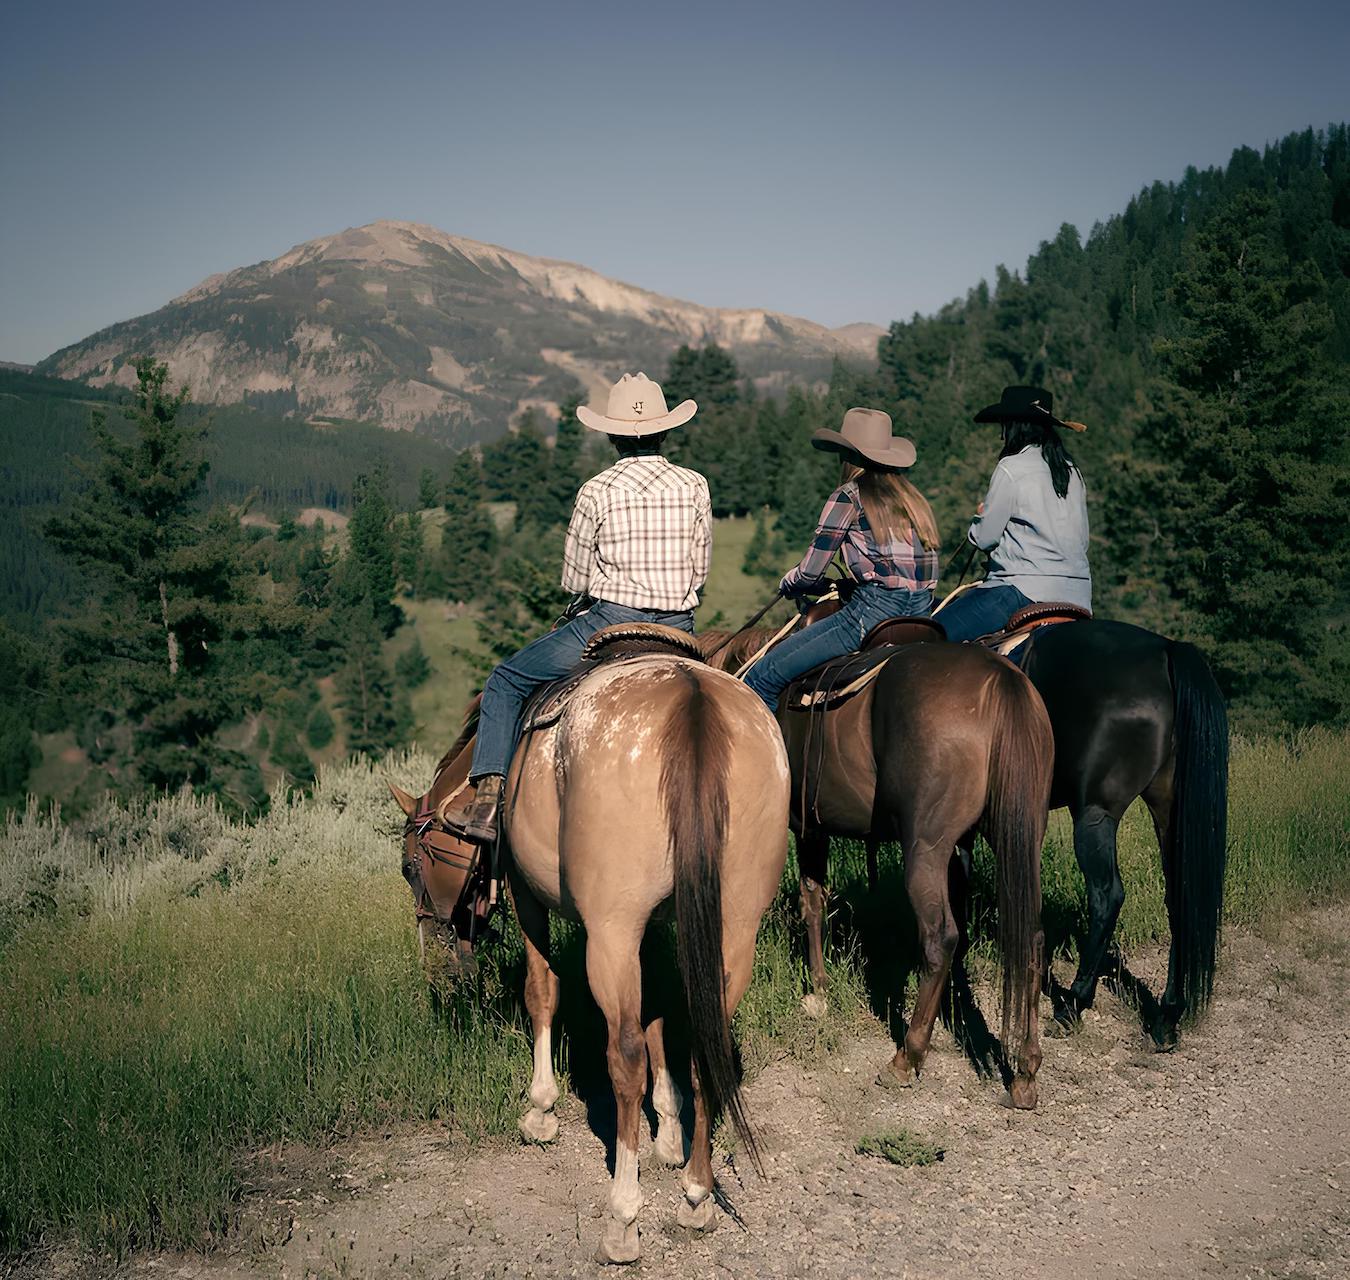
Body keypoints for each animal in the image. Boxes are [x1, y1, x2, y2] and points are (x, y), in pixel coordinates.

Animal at [388, 623, 788, 1263]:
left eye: (410, 866)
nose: (437, 954)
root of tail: (693, 699)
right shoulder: (655, 925)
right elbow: (657, 1015)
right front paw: (668, 1132)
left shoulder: (527, 893)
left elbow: (542, 992)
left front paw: (540, 1109)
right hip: (735, 925)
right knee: (706, 1043)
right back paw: (696, 1196)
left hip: (610, 929)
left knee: (621, 1052)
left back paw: (623, 1217)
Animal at [702, 615, 1047, 1107]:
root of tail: (1001, 680)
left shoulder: (808, 829)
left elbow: (812, 902)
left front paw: (818, 993)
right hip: (1017, 836)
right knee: (1032, 939)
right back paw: (1025, 1071)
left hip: (926, 847)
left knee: (940, 938)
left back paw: (907, 1057)